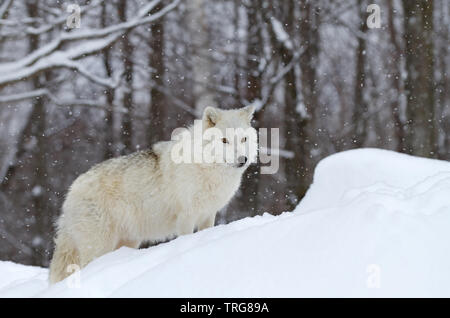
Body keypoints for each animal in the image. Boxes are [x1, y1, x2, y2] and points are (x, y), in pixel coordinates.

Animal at [48, 105, 256, 284]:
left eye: (244, 139)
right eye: (224, 141)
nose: (242, 160)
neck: (206, 167)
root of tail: (71, 191)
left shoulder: (208, 214)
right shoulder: (186, 217)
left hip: (128, 241)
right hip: (99, 246)